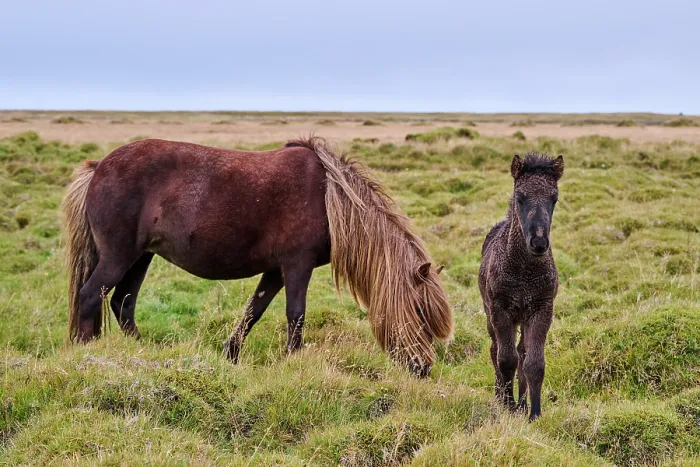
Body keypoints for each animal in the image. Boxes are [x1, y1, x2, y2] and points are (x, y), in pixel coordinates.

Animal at [62, 136, 452, 376]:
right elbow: (295, 314)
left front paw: (230, 355)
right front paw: (293, 361)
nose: (423, 368)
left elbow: (254, 311)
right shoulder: (297, 265)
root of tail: (99, 166)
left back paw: (144, 354)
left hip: (141, 257)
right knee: (90, 296)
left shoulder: (276, 271)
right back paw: (85, 354)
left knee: (122, 303)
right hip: (119, 255)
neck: (329, 196)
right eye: (419, 313)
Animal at [478, 152, 564, 420]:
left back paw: (522, 403)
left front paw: (533, 412)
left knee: (522, 352)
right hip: (490, 314)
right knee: (495, 349)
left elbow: (533, 362)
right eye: (520, 197)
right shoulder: (501, 309)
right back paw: (501, 396)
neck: (524, 272)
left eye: (554, 199)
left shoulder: (541, 309)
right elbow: (506, 359)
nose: (539, 243)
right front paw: (507, 405)